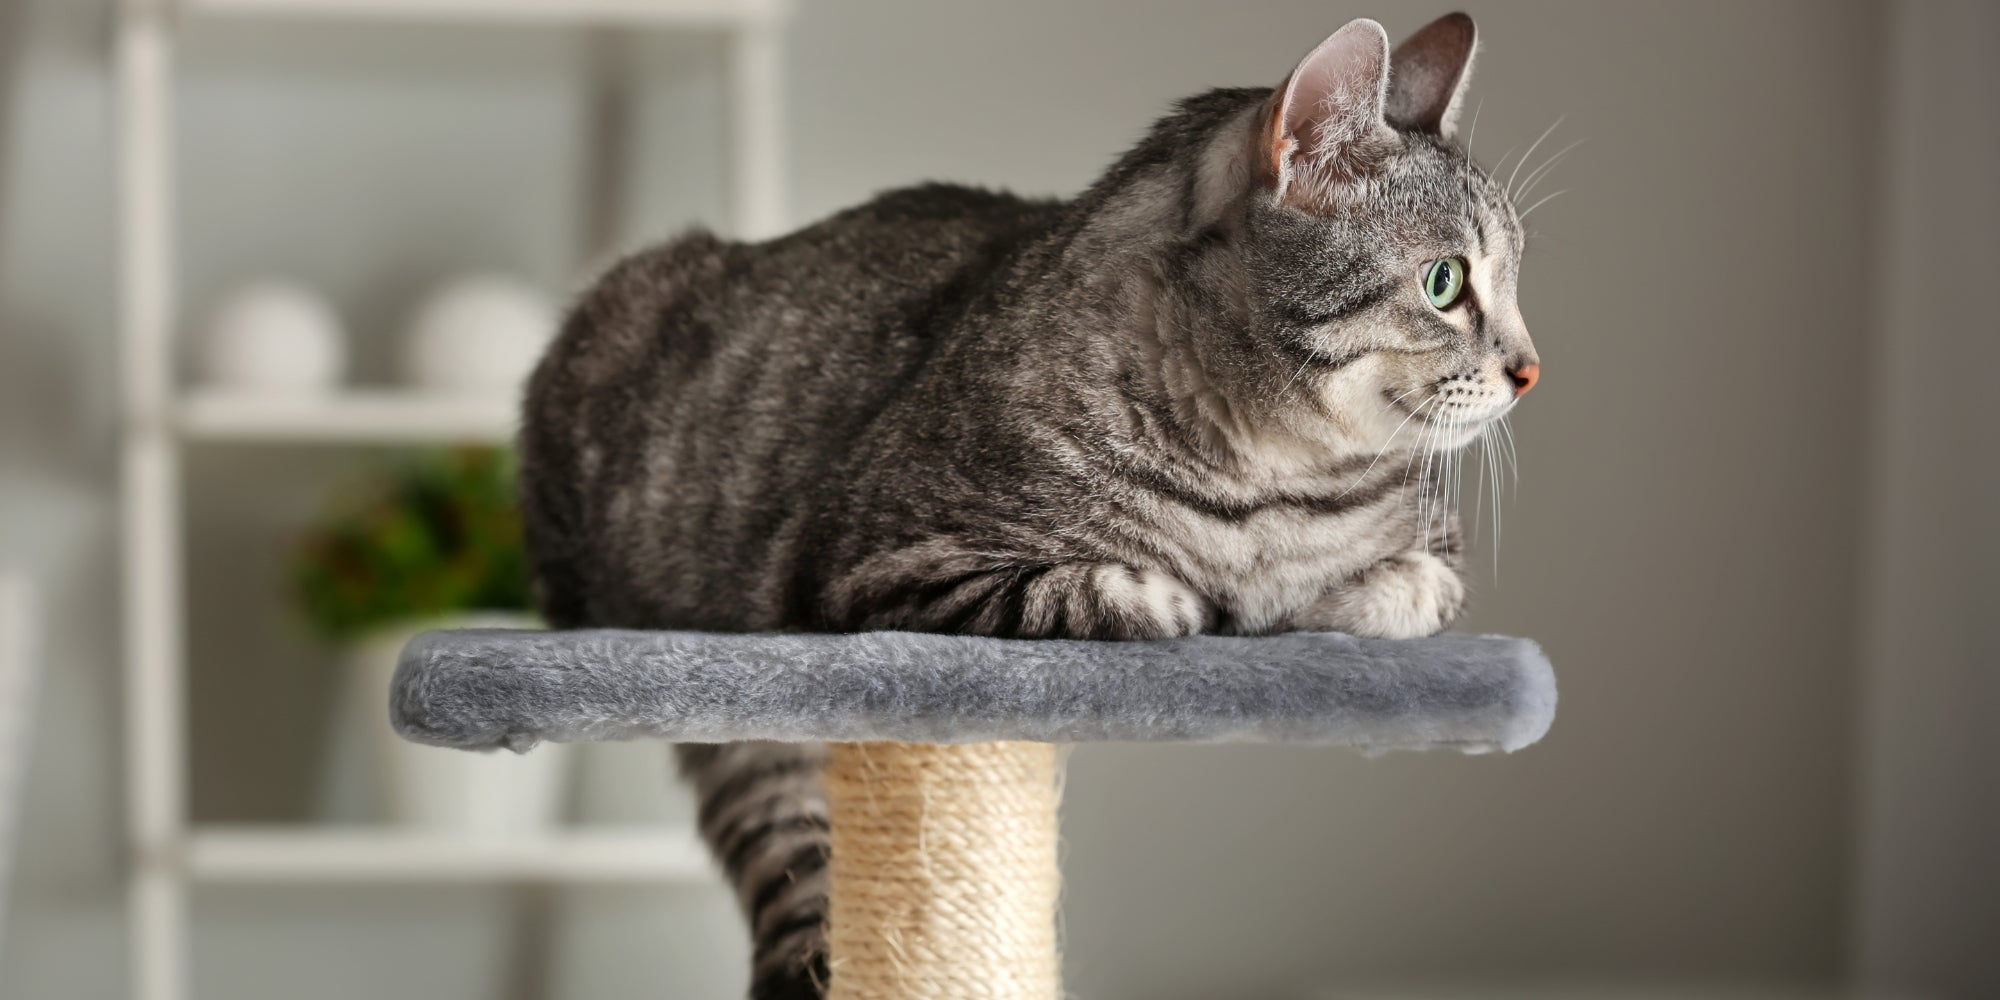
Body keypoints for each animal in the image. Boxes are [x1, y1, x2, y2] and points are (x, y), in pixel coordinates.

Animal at [516, 15, 1528, 1000]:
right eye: (1445, 282)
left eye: (1516, 282)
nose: (1531, 367)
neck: (1269, 480)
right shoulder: (882, 560)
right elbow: (1120, 592)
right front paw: (1205, 601)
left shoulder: (1439, 546)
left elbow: (1410, 588)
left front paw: (1320, 600)